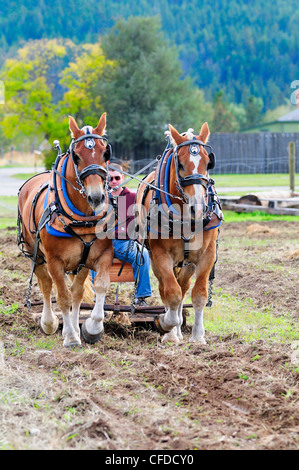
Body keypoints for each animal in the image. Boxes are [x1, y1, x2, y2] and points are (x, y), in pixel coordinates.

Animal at [17, 113, 115, 348]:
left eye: (105, 153)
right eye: (76, 156)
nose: (96, 197)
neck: (83, 219)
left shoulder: (100, 255)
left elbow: (99, 287)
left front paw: (92, 328)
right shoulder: (55, 261)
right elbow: (62, 296)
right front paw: (70, 336)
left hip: (80, 264)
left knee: (77, 292)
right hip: (35, 253)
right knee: (46, 285)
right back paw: (50, 322)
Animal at [135, 124, 223, 346]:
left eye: (208, 163)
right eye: (181, 164)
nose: (198, 208)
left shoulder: (207, 254)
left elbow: (198, 294)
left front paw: (198, 336)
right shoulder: (161, 255)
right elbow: (171, 293)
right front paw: (167, 327)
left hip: (188, 263)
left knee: (183, 286)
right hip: (156, 260)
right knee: (165, 289)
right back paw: (173, 328)